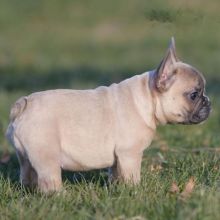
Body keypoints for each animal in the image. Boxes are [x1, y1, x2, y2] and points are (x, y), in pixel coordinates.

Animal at [6, 37, 211, 192]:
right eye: (194, 95)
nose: (208, 102)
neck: (147, 98)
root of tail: (23, 105)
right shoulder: (130, 154)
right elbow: (132, 176)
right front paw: (135, 191)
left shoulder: (118, 158)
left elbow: (115, 174)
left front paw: (117, 190)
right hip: (47, 156)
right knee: (49, 181)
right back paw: (58, 196)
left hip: (25, 157)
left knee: (27, 174)